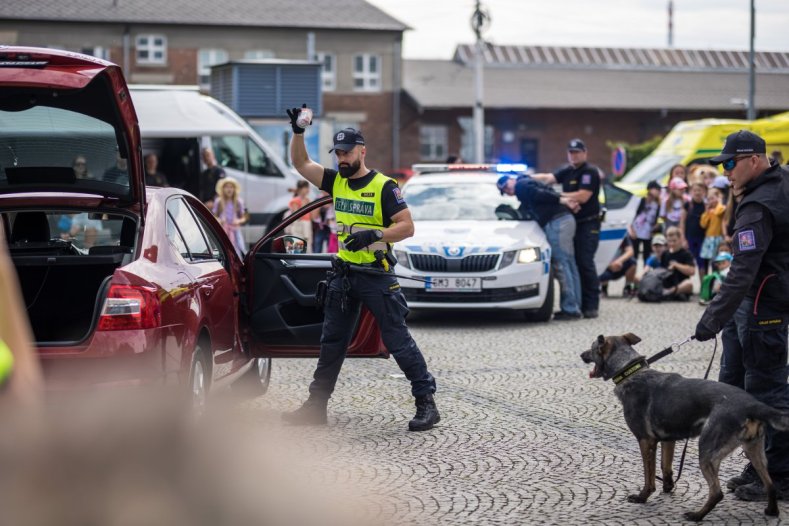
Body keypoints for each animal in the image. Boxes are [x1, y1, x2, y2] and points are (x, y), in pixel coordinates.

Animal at [580, 334, 788, 524]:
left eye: (591, 348)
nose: (581, 355)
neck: (630, 371)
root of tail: (751, 404)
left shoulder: (645, 441)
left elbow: (649, 476)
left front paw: (643, 497)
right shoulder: (668, 440)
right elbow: (665, 467)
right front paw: (668, 487)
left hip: (707, 453)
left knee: (717, 492)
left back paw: (696, 516)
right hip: (753, 450)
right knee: (770, 484)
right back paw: (771, 511)